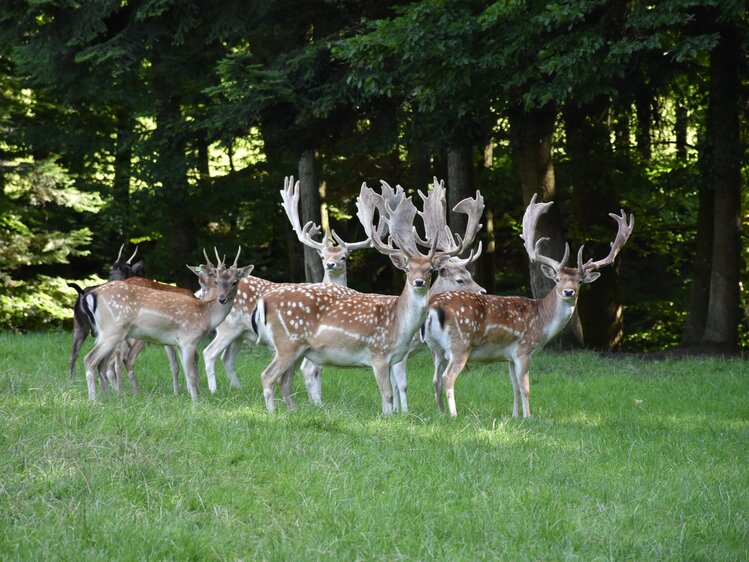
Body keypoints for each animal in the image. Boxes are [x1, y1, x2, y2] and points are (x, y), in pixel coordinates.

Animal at [81, 248, 251, 398]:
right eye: (216, 281)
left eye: (234, 282)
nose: (222, 299)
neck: (205, 315)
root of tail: (93, 294)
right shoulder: (188, 340)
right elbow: (190, 373)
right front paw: (196, 402)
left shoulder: (179, 343)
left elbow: (186, 372)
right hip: (114, 330)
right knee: (91, 359)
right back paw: (96, 400)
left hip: (104, 332)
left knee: (102, 363)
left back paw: (108, 396)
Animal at [254, 180, 482, 416]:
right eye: (408, 269)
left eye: (430, 270)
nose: (418, 282)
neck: (401, 326)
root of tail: (263, 301)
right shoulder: (379, 353)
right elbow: (392, 390)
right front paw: (396, 416)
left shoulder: (394, 357)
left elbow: (391, 392)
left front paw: (395, 414)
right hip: (287, 343)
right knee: (269, 375)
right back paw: (275, 413)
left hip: (298, 348)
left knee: (285, 380)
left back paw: (293, 411)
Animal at [420, 192, 632, 416]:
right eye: (557, 279)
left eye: (580, 281)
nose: (569, 292)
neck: (542, 320)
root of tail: (434, 306)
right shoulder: (524, 348)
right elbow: (525, 386)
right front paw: (528, 417)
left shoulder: (508, 356)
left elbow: (513, 386)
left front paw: (515, 416)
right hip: (460, 344)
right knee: (448, 377)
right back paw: (454, 415)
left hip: (435, 349)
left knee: (435, 380)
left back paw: (441, 414)